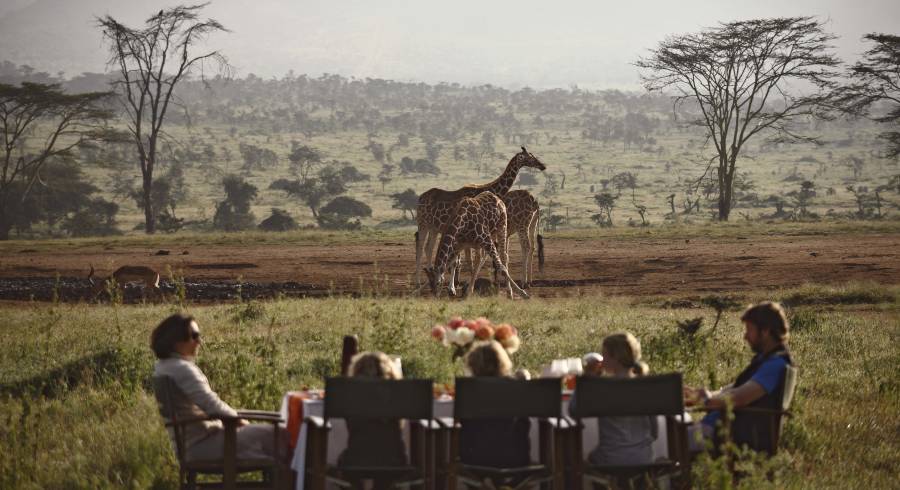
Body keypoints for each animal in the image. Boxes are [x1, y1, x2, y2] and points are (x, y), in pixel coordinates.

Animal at [414, 147, 544, 290]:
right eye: (530, 157)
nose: (542, 165)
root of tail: (420, 198)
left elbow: (465, 258)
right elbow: (466, 259)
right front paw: (460, 285)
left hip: (434, 228)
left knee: (428, 248)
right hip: (422, 224)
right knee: (420, 248)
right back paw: (418, 282)